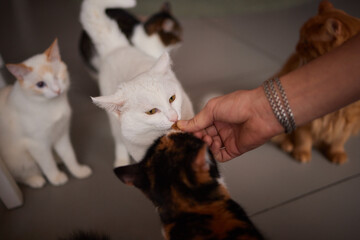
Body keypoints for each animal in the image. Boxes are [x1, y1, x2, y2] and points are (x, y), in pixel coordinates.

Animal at [0, 39, 93, 188]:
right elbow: (48, 164)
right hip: (21, 161)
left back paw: (57, 159)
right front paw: (56, 178)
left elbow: (69, 156)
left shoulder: (61, 134)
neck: (51, 106)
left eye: (56, 77)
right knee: (20, 176)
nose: (57, 90)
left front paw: (77, 171)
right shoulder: (38, 145)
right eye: (40, 84)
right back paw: (35, 180)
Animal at [272, 0, 360, 164]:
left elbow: (339, 140)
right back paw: (288, 145)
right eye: (300, 35)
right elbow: (303, 138)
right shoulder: (306, 119)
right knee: (283, 137)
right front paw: (302, 153)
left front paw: (337, 153)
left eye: (306, 41)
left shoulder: (348, 122)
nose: (296, 47)